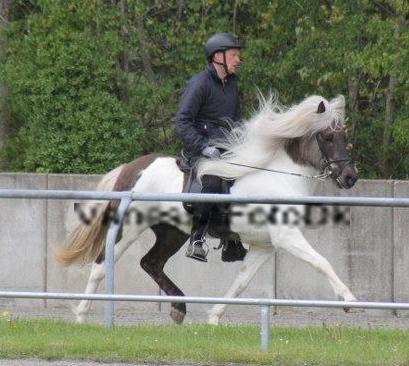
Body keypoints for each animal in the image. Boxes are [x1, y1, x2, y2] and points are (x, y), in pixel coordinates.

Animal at [55, 93, 356, 324]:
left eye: (344, 137)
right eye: (328, 137)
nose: (350, 177)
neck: (280, 178)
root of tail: (131, 168)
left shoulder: (264, 246)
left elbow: (241, 282)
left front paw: (214, 316)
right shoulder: (287, 237)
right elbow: (322, 262)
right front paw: (349, 300)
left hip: (172, 233)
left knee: (151, 263)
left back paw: (179, 307)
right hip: (129, 228)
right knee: (101, 265)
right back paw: (81, 314)